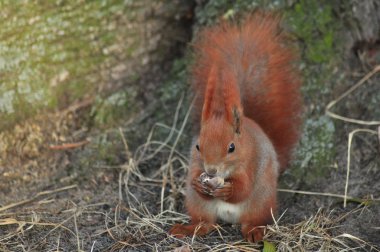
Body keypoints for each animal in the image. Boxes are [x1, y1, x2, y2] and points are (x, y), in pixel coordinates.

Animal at [169, 11, 300, 242]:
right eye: (198, 146)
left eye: (232, 147)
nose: (211, 171)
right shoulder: (196, 163)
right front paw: (197, 183)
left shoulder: (250, 163)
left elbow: (243, 189)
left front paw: (228, 192)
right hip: (198, 204)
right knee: (205, 223)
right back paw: (188, 229)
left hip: (260, 202)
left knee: (251, 220)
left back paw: (255, 232)